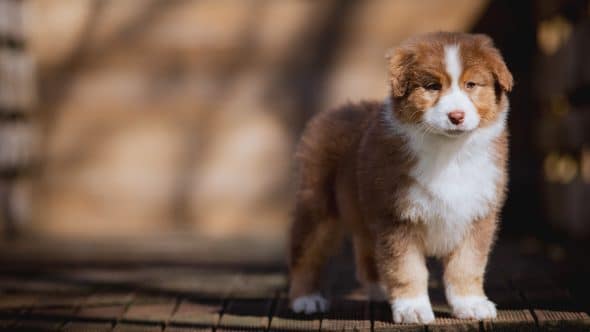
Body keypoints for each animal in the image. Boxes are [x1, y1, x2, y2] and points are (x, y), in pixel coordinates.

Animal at [286, 31, 512, 324]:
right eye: (432, 86)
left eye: (471, 84)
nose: (456, 116)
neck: (448, 151)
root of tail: (335, 111)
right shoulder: (396, 217)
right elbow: (407, 268)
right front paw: (413, 308)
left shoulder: (478, 213)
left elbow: (467, 265)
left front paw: (471, 305)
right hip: (318, 204)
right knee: (306, 254)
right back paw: (306, 299)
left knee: (367, 255)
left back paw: (379, 290)